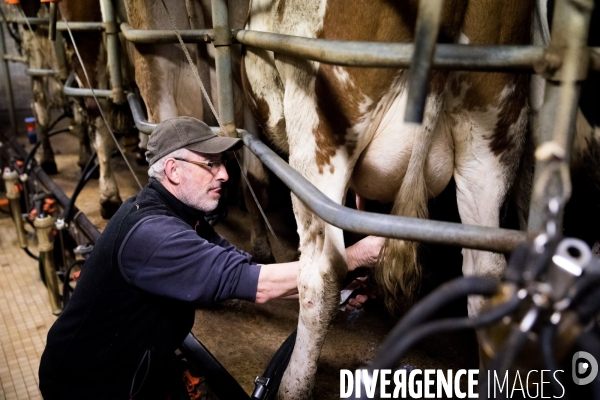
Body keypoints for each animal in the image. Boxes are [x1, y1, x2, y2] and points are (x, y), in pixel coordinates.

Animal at [241, 0, 532, 396]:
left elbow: (252, 175)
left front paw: (258, 245)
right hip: (492, 135)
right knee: (486, 274)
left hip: (318, 130)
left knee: (321, 274)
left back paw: (291, 388)